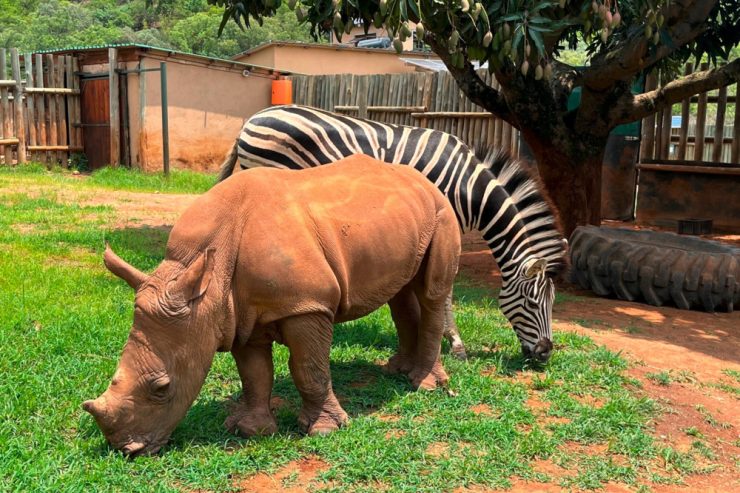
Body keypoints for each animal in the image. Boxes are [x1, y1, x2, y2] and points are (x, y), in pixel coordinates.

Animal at [219, 105, 567, 362]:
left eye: (552, 302)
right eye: (532, 302)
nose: (545, 354)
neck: (471, 192)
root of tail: (255, 118)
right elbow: (445, 288)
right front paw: (454, 343)